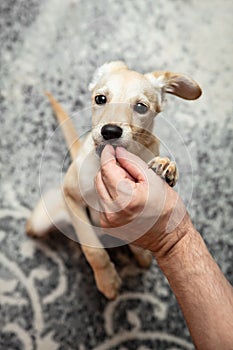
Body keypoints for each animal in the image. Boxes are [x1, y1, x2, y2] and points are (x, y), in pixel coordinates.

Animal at [26, 61, 202, 300]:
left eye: (141, 107)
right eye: (100, 98)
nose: (110, 131)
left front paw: (165, 166)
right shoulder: (71, 198)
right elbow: (93, 250)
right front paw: (107, 281)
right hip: (41, 220)